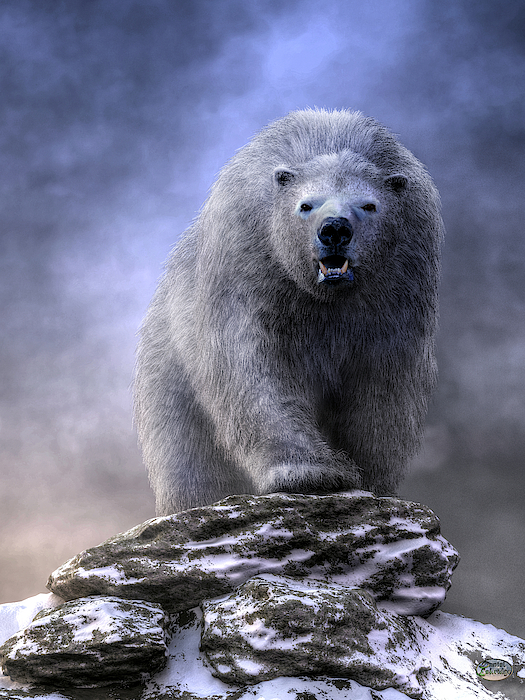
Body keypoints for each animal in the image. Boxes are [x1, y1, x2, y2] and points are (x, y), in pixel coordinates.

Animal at [134, 109, 444, 516]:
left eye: (369, 205)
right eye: (306, 205)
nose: (334, 229)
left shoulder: (403, 274)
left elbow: (384, 381)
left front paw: (370, 480)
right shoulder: (247, 256)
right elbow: (252, 368)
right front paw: (312, 474)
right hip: (167, 361)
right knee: (186, 449)